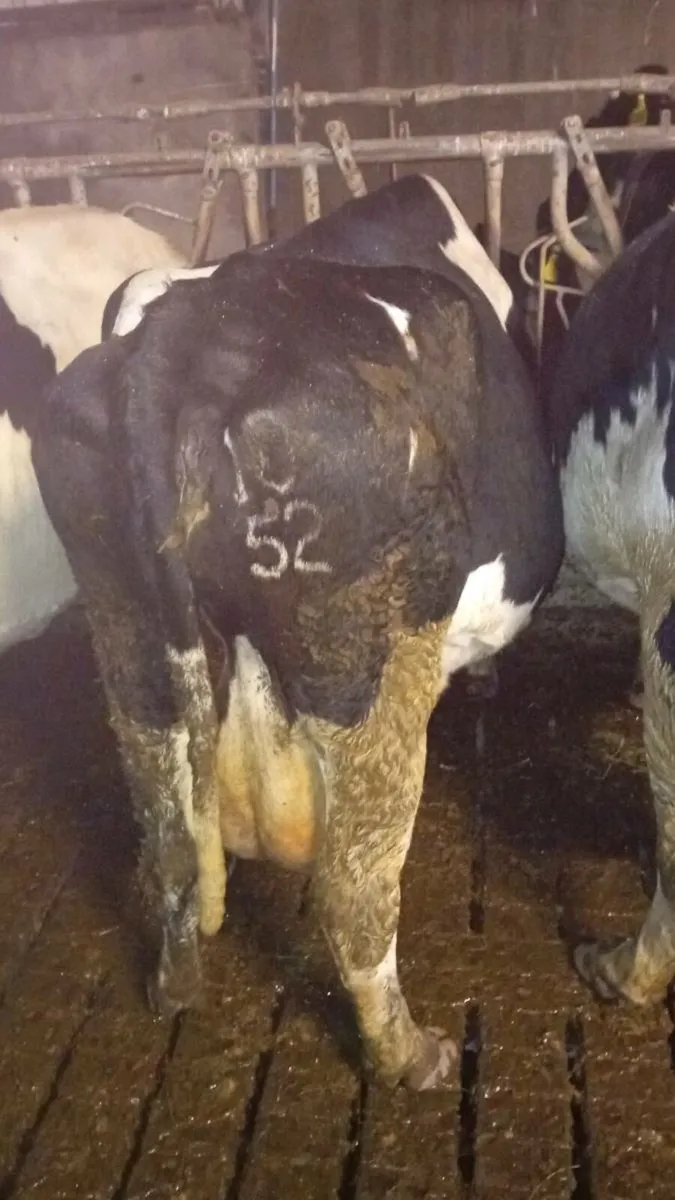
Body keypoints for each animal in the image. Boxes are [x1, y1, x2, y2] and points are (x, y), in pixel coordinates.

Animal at [32, 175, 564, 1090]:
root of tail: (176, 347)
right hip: (366, 657)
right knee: (359, 881)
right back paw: (411, 1056)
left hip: (125, 627)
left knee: (169, 837)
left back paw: (174, 985)